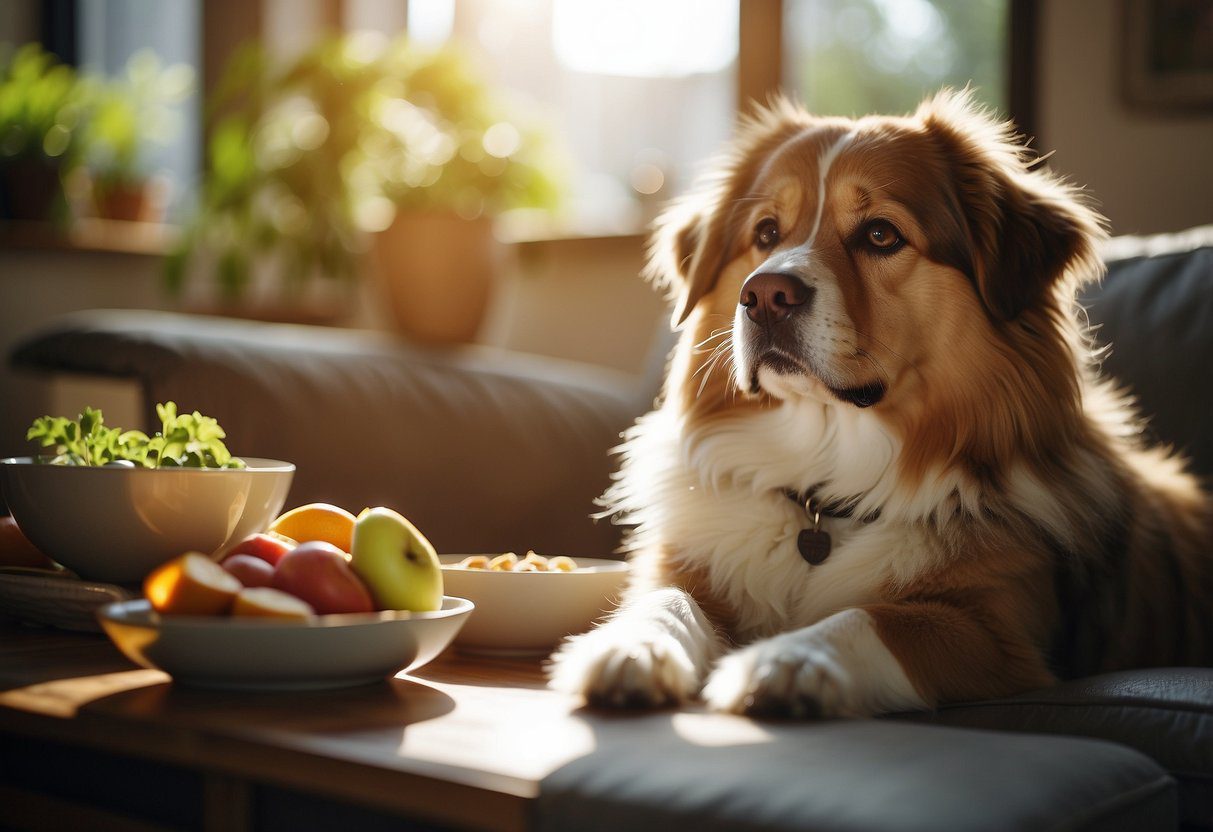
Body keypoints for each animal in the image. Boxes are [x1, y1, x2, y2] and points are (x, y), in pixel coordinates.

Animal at [550, 89, 1213, 717]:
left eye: (879, 234)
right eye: (766, 234)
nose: (763, 295)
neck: (825, 498)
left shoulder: (998, 634)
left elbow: (874, 619)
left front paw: (789, 659)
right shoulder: (686, 568)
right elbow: (668, 599)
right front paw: (630, 647)